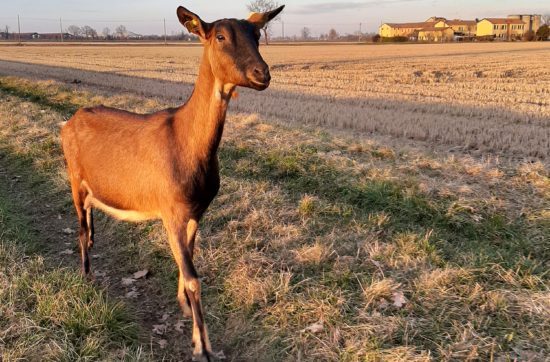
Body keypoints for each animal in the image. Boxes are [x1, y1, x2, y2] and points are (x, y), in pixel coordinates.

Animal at [60, 4, 286, 360]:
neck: (187, 144)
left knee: (90, 223)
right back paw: (87, 277)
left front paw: (183, 308)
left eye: (257, 34)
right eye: (220, 37)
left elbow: (188, 263)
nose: (261, 73)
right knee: (81, 229)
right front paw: (203, 348)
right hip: (74, 177)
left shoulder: (196, 211)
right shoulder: (171, 210)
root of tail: (66, 123)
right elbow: (194, 278)